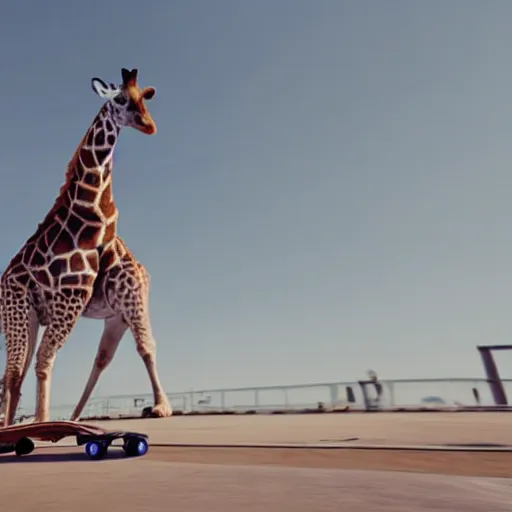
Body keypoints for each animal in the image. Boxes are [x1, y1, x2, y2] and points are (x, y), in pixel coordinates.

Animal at [0, 69, 172, 428]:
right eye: (120, 99)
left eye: (143, 99)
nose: (149, 125)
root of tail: (144, 271)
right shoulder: (46, 301)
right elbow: (31, 366)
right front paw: (35, 422)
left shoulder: (70, 300)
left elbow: (42, 362)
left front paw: (41, 422)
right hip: (93, 313)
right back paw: (68, 417)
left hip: (129, 304)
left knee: (140, 347)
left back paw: (160, 407)